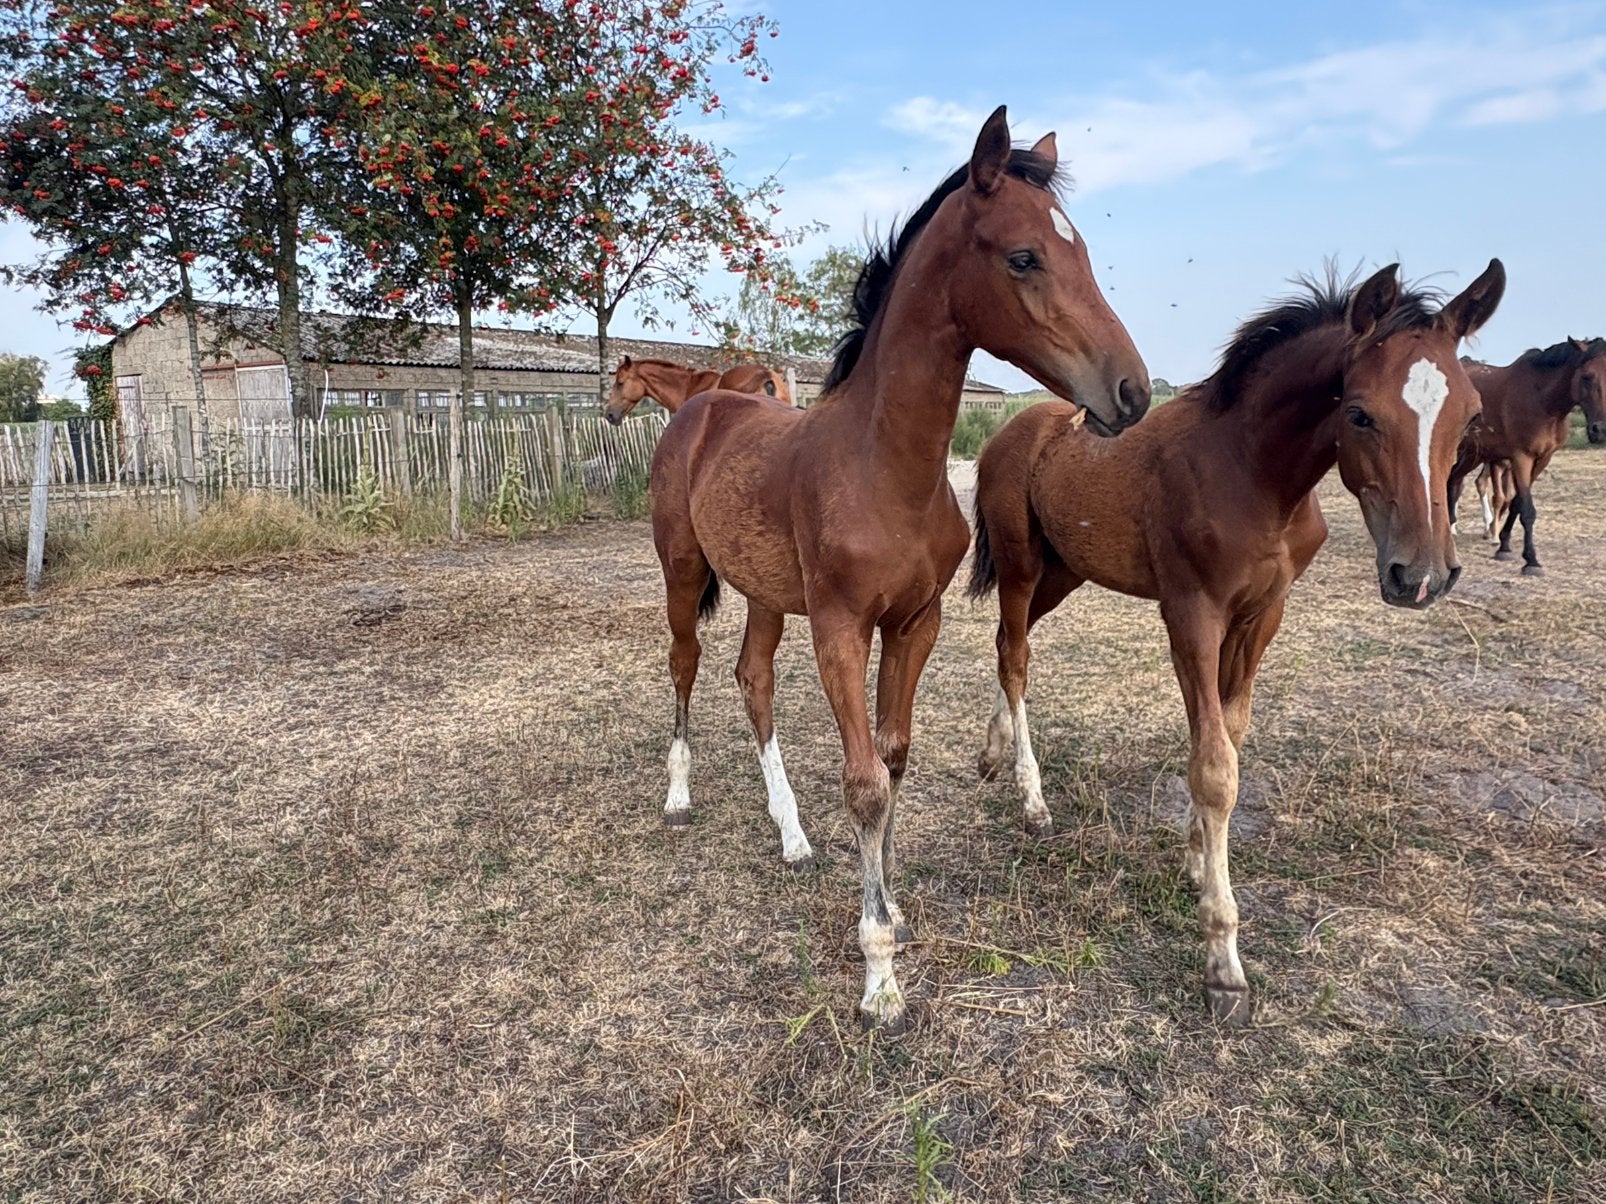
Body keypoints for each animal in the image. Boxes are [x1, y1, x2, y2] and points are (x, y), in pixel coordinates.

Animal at [649, 107, 1150, 1032]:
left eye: (1086, 253)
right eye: (1024, 256)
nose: (1131, 392)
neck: (885, 467)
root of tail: (701, 402)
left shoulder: (916, 622)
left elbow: (896, 757)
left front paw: (894, 908)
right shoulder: (841, 628)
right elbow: (865, 784)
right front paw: (878, 971)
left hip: (768, 595)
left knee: (752, 678)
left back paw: (793, 836)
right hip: (680, 570)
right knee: (686, 665)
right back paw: (678, 797)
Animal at [967, 260, 1505, 1024]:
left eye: (1470, 416)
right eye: (1359, 412)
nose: (1422, 574)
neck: (1251, 473)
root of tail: (1004, 433)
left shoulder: (1261, 616)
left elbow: (1228, 729)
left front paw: (1197, 860)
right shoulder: (1192, 615)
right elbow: (1216, 766)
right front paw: (1223, 959)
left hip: (1064, 572)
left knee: (1003, 646)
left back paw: (992, 754)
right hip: (1020, 566)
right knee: (1015, 658)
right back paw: (1031, 798)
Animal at [1447, 338, 1606, 575]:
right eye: (1586, 376)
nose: (1600, 430)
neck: (1542, 400)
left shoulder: (1542, 460)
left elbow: (1516, 503)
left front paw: (1504, 547)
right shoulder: (1521, 458)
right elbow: (1527, 510)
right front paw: (1531, 560)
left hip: (1471, 455)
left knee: (1453, 484)